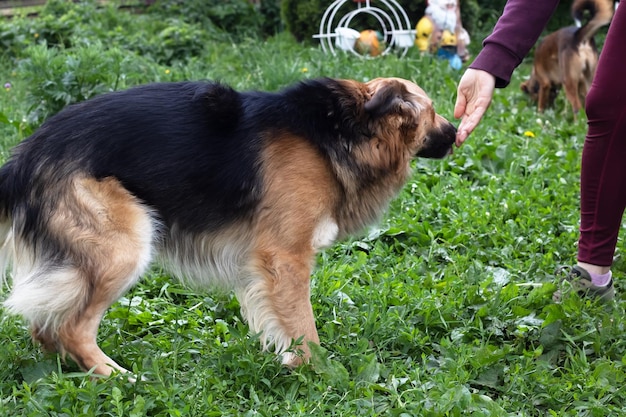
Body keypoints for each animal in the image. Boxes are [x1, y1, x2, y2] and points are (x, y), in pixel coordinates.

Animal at [0, 76, 454, 376]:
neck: (344, 131)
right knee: (71, 327)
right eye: (432, 111)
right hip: (123, 248)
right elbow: (304, 326)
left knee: (45, 327)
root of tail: (26, 158)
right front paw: (315, 372)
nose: (455, 133)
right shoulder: (285, 257)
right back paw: (116, 376)